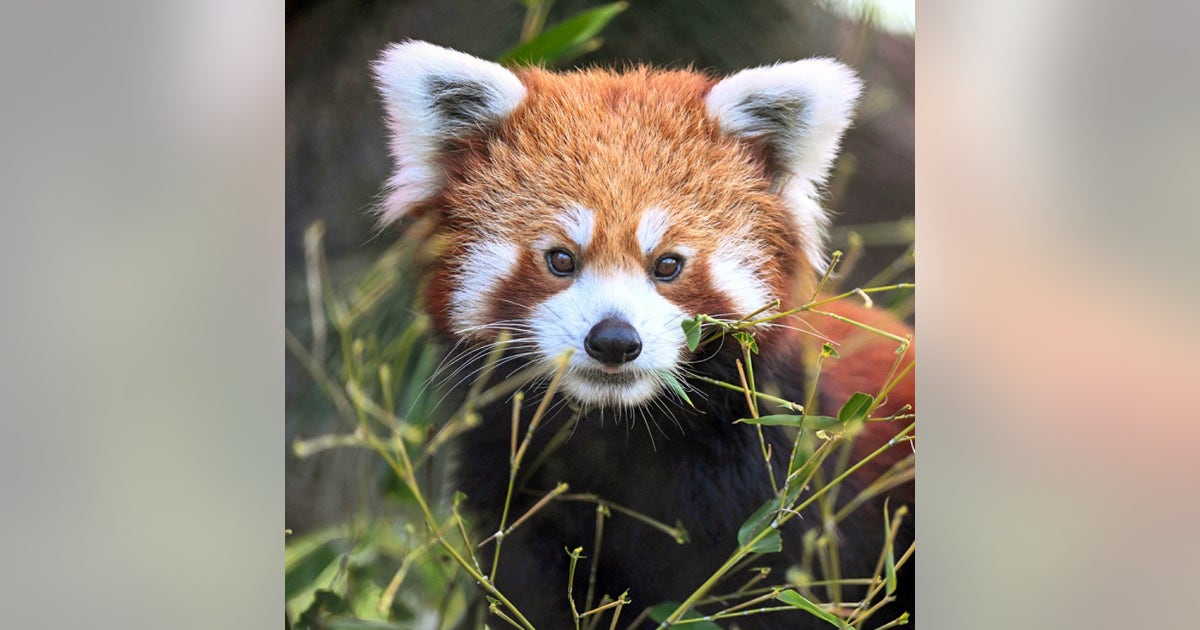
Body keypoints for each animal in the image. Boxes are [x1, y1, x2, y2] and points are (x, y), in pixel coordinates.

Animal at [371, 41, 914, 629]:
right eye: (561, 259)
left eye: (668, 265)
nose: (613, 340)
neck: (617, 432)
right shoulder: (512, 484)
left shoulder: (775, 487)